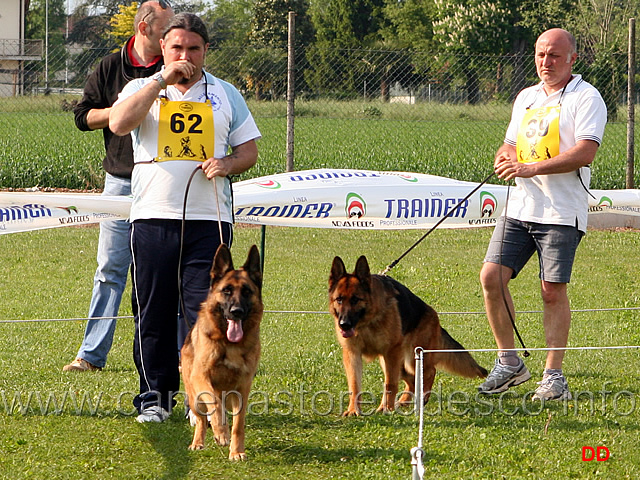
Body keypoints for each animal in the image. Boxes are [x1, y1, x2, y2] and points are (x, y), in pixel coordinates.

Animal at [180, 246, 262, 460]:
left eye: (247, 291)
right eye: (226, 291)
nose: (237, 311)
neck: (229, 343)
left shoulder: (243, 388)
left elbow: (238, 425)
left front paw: (236, 451)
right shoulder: (201, 377)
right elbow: (215, 406)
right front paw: (221, 433)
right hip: (194, 397)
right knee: (201, 418)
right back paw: (198, 442)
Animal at [328, 255, 488, 416]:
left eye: (355, 299)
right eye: (339, 299)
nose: (344, 324)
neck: (367, 321)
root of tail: (434, 316)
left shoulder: (391, 353)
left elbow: (390, 384)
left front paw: (387, 409)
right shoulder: (352, 354)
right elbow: (354, 384)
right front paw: (353, 410)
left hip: (412, 358)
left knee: (430, 371)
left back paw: (421, 398)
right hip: (397, 362)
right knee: (412, 379)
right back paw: (404, 401)